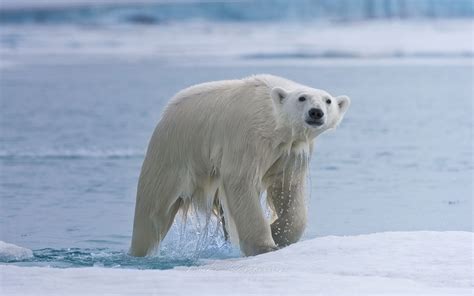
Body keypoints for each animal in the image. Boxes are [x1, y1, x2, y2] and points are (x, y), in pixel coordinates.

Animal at [130, 74, 348, 256]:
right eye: (302, 98)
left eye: (328, 100)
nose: (316, 112)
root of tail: (166, 113)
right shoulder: (247, 138)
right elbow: (242, 181)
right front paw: (265, 245)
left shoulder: (291, 151)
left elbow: (288, 188)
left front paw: (278, 233)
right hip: (174, 155)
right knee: (152, 211)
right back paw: (140, 251)